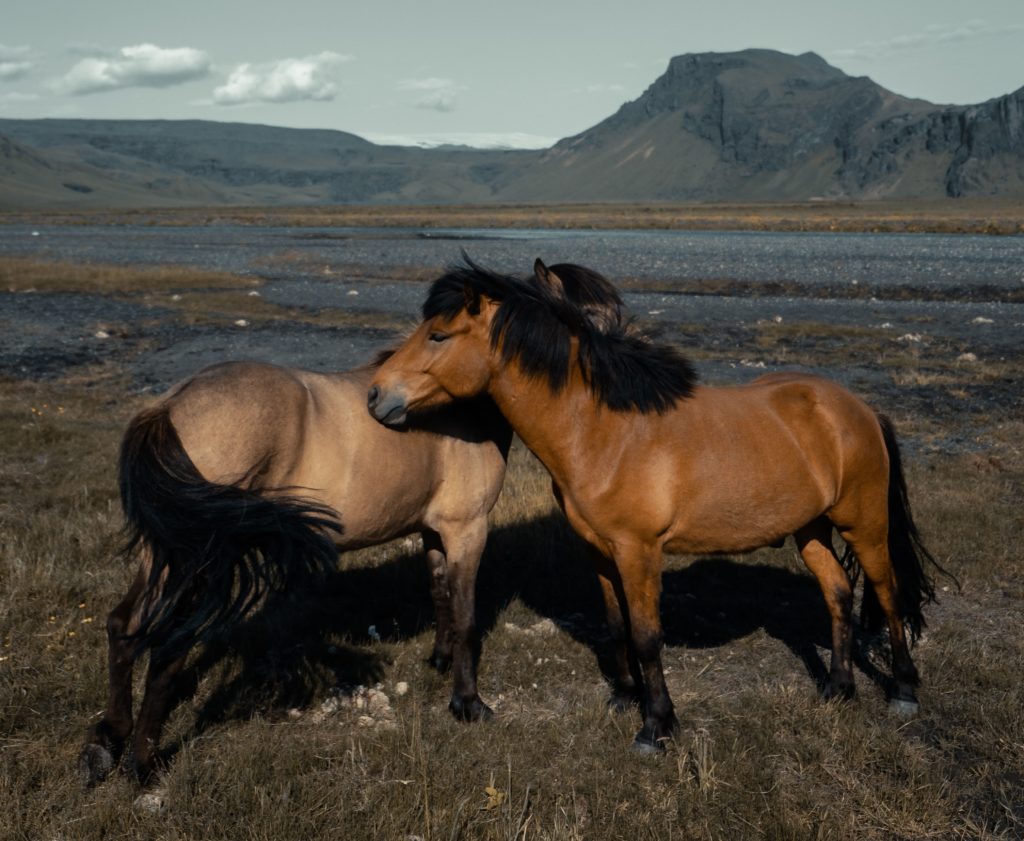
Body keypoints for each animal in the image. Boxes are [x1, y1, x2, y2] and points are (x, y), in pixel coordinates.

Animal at [78, 358, 512, 782]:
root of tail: (167, 407)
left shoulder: (433, 531)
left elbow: (441, 595)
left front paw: (440, 660)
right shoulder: (467, 529)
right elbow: (466, 617)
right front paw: (468, 703)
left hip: (165, 557)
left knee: (124, 626)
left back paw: (108, 741)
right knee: (169, 648)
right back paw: (143, 764)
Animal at [370, 259, 950, 749]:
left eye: (438, 335)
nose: (376, 395)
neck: (604, 432)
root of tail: (859, 408)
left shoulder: (639, 552)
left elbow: (648, 637)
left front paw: (658, 726)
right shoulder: (601, 551)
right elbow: (616, 625)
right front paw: (626, 698)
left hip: (864, 524)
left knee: (888, 595)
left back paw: (903, 690)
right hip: (811, 530)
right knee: (837, 593)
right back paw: (838, 687)